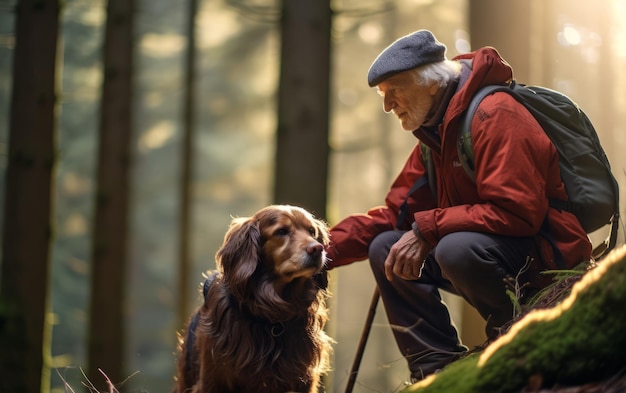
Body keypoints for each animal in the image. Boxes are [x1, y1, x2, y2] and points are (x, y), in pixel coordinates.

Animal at [173, 205, 334, 392]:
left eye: (312, 231)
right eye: (281, 231)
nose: (318, 249)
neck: (273, 317)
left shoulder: (303, 380)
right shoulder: (211, 379)